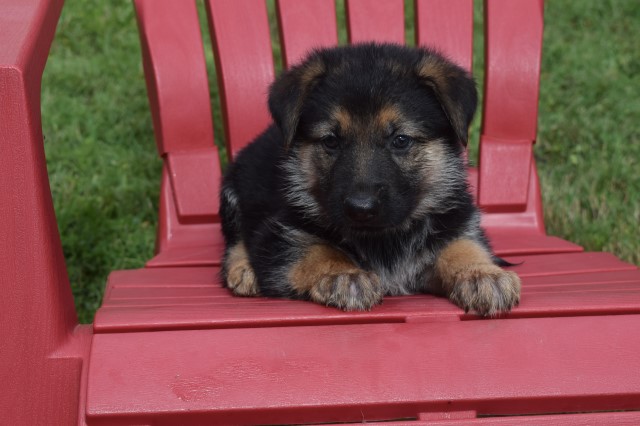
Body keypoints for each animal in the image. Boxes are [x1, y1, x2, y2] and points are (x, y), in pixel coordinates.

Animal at [220, 43, 520, 316]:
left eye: (401, 140)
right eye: (331, 141)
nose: (360, 209)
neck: (382, 238)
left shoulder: (455, 223)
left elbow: (461, 245)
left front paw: (481, 273)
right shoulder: (277, 238)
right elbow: (314, 249)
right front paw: (342, 273)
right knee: (235, 239)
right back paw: (243, 268)